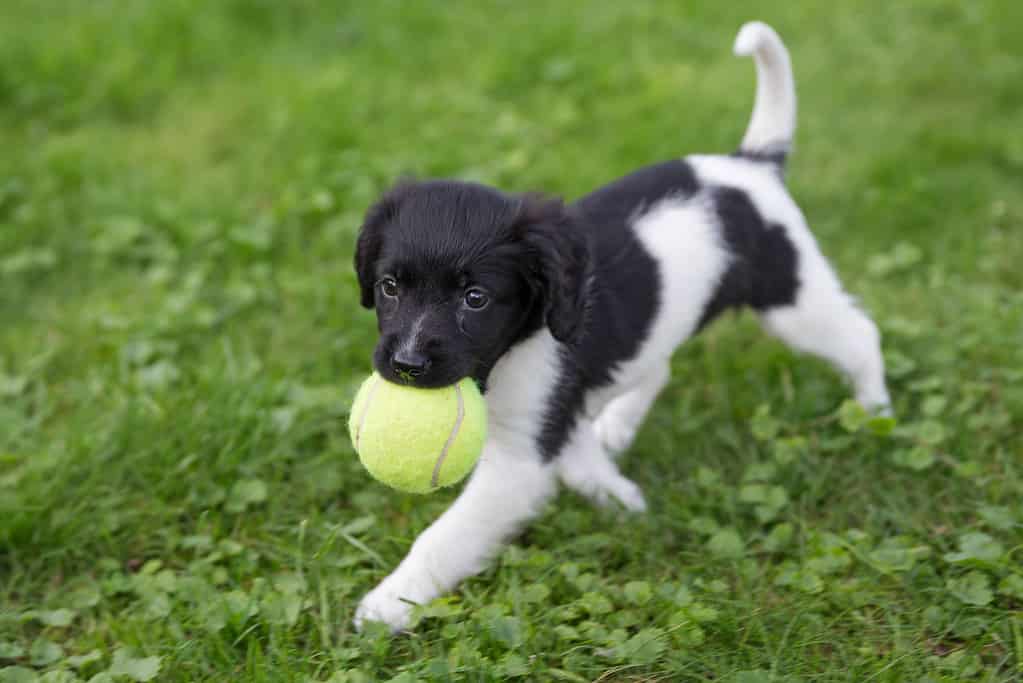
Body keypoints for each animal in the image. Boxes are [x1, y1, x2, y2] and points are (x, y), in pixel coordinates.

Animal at [349, 20, 887, 629]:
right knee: (656, 371)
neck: (515, 349)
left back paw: (875, 410)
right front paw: (613, 492)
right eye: (390, 287)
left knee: (860, 336)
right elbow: (580, 453)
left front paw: (389, 602)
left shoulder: (520, 461)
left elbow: (443, 538)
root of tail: (750, 165)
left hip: (792, 301)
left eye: (476, 298)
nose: (406, 364)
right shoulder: (553, 417)